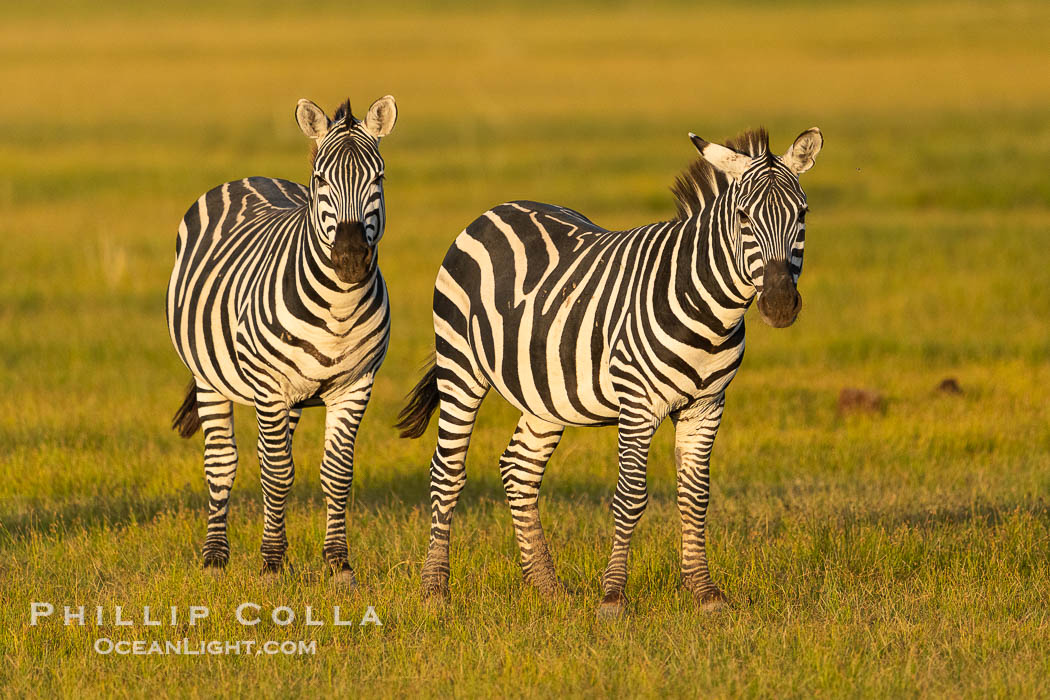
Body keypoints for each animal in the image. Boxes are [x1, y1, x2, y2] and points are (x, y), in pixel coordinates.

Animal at [168, 94, 396, 587]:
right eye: (321, 180)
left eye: (379, 179)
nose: (350, 259)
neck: (338, 308)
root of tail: (251, 178)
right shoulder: (270, 388)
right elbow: (276, 474)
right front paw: (272, 565)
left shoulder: (356, 387)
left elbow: (336, 474)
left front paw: (338, 564)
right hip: (212, 380)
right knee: (223, 464)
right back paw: (214, 558)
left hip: (286, 399)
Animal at [396, 128, 823, 617]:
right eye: (744, 217)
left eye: (802, 214)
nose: (780, 304)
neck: (710, 309)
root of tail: (496, 210)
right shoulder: (637, 405)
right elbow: (631, 497)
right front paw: (613, 597)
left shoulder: (706, 407)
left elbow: (695, 498)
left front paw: (706, 593)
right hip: (460, 365)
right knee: (447, 470)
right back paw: (435, 589)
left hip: (546, 392)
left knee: (520, 468)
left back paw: (547, 587)